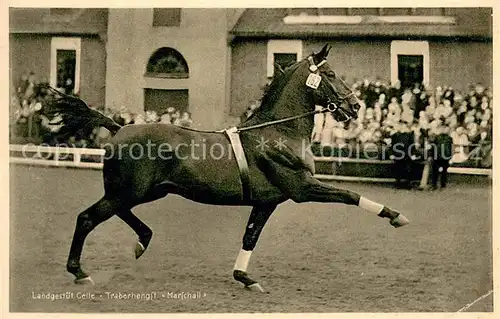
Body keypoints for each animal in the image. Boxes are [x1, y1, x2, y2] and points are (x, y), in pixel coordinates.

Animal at [52, 44, 408, 292]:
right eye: (331, 74)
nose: (355, 107)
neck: (278, 132)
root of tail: (118, 128)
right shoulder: (301, 187)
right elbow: (348, 194)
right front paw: (395, 215)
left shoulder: (267, 201)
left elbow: (250, 236)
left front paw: (244, 277)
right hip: (130, 191)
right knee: (87, 218)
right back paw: (80, 272)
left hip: (143, 191)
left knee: (116, 213)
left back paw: (142, 241)